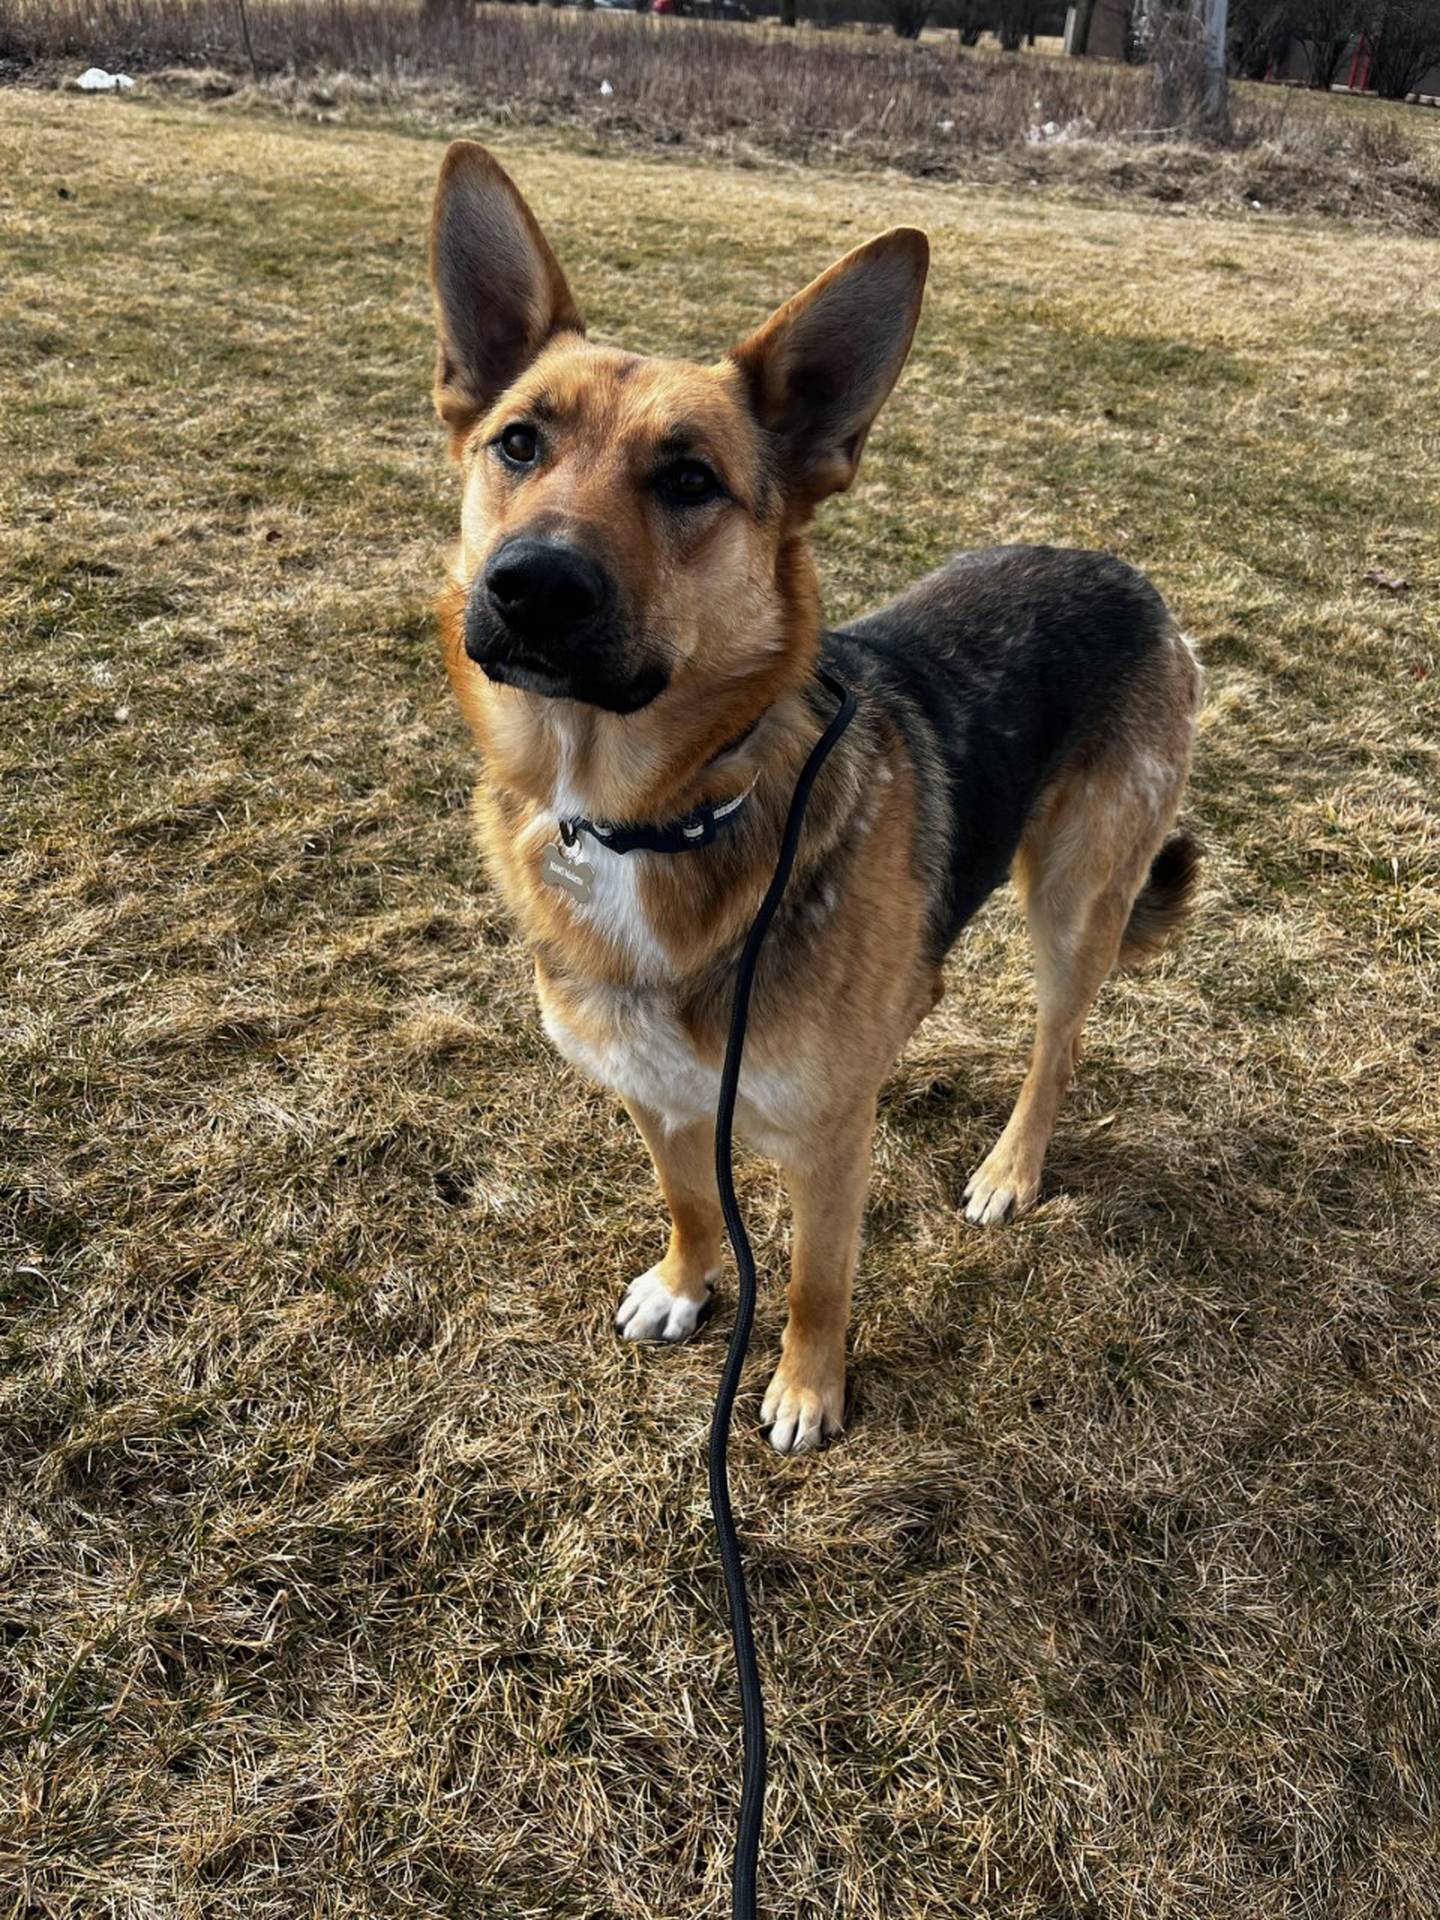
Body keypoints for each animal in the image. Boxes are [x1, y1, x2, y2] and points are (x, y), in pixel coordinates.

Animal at [432, 139, 1205, 1451]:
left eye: (690, 479)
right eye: (520, 444)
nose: (532, 585)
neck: (651, 816)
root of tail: (1132, 579)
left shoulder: (827, 1141)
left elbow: (814, 1279)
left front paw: (804, 1389)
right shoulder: (658, 1098)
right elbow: (692, 1204)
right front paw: (687, 1287)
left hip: (1074, 895)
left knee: (1058, 1043)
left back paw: (1011, 1168)